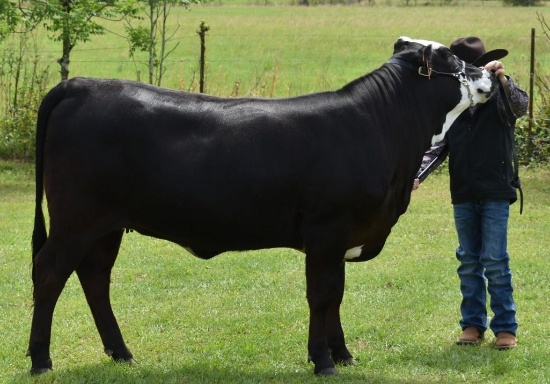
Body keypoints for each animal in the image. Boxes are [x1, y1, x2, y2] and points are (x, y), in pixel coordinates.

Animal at [27, 38, 496, 376]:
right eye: (452, 58)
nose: (490, 75)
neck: (380, 130)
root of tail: (81, 84)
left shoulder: (341, 236)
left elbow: (337, 295)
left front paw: (343, 354)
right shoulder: (327, 230)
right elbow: (321, 295)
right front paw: (323, 362)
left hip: (107, 225)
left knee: (94, 278)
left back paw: (121, 353)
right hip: (76, 220)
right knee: (49, 274)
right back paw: (40, 361)